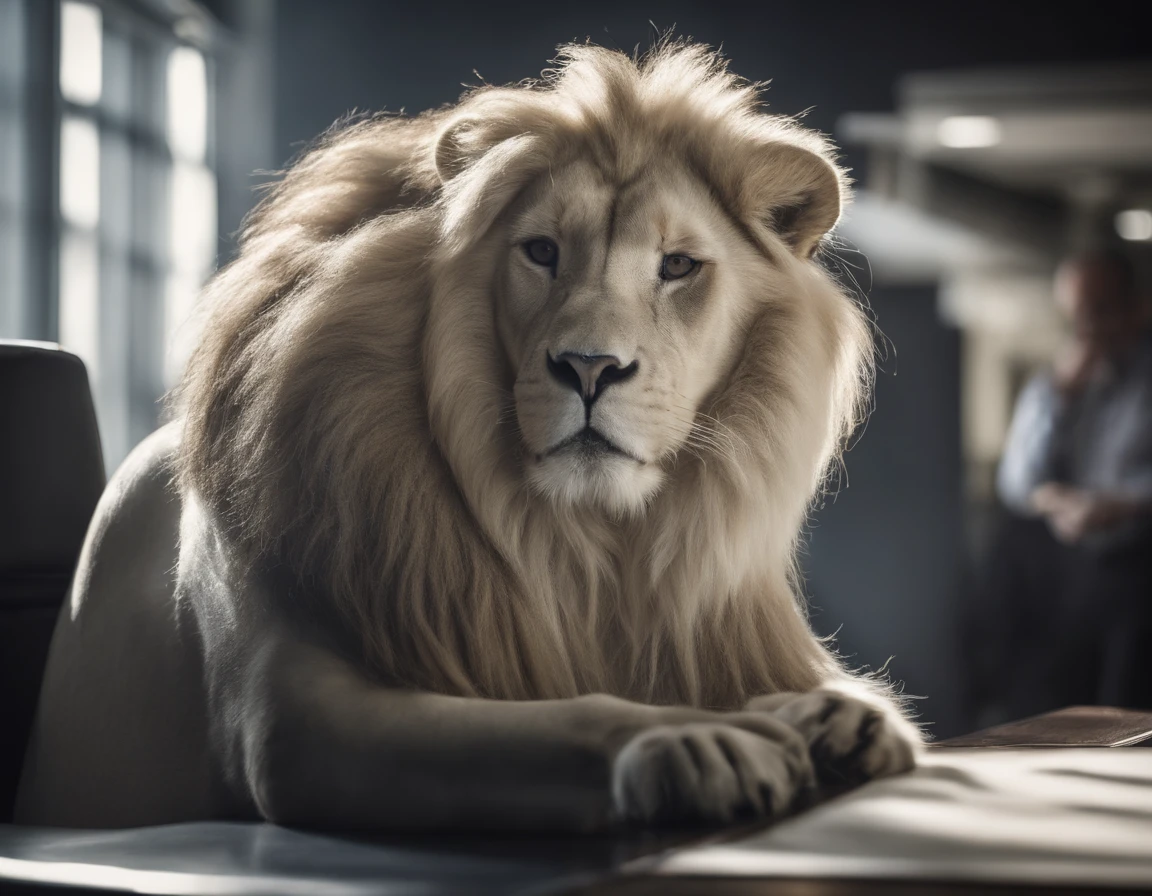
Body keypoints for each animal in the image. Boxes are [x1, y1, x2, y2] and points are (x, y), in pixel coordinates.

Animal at [15, 40, 916, 824]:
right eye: (541, 251)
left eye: (678, 266)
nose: (590, 368)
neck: (582, 545)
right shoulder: (290, 722)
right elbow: (551, 720)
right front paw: (693, 740)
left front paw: (841, 715)